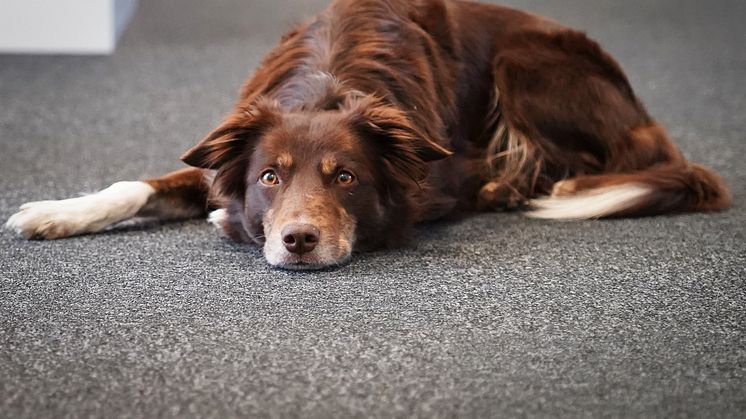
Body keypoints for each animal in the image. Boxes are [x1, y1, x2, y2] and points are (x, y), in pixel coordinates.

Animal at [4, 0, 728, 270]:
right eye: (270, 176)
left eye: (346, 178)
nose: (298, 241)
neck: (328, 80)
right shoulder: (217, 159)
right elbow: (133, 185)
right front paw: (52, 213)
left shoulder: (446, 169)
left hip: (523, 62)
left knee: (614, 157)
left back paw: (532, 185)